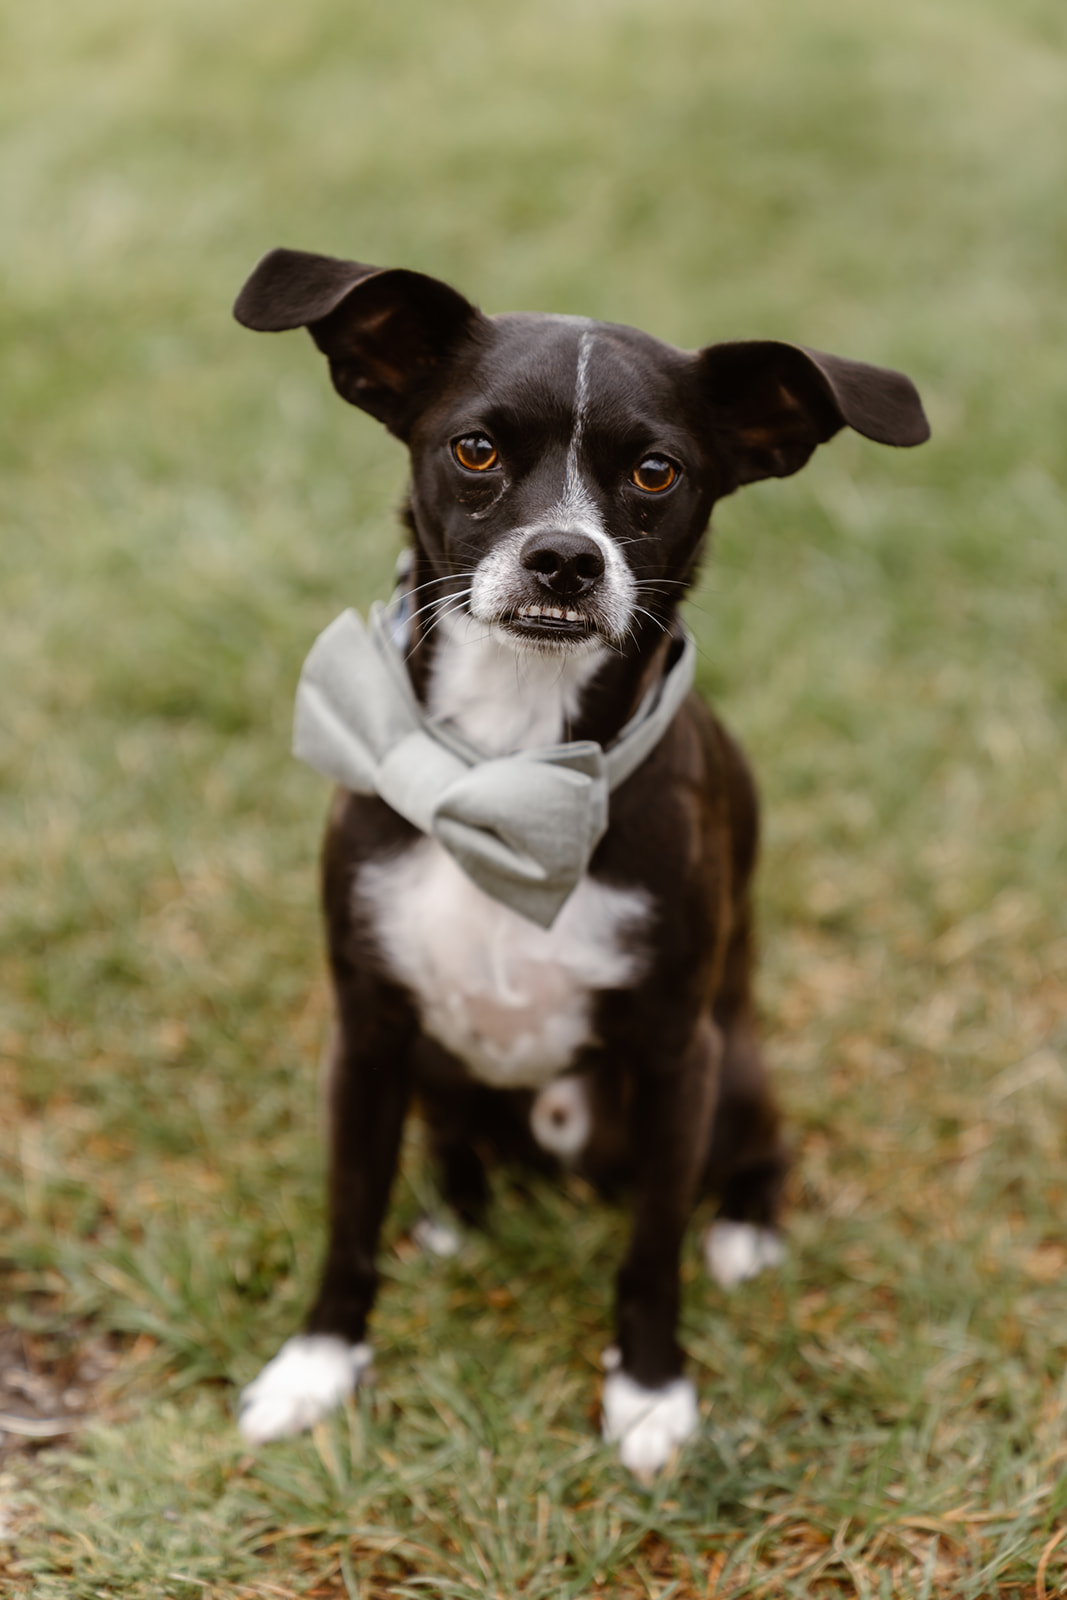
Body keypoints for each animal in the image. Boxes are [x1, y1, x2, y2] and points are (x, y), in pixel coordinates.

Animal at [231, 249, 927, 1472]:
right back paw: (454, 1218)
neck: (511, 763)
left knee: (762, 1150)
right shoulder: (365, 1030)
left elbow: (648, 1251)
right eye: (474, 449)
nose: (563, 557)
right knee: (454, 1152)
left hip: (733, 1072)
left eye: (655, 471)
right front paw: (316, 1366)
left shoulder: (673, 1058)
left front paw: (648, 1395)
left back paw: (744, 1232)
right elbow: (347, 1218)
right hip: (437, 1067)